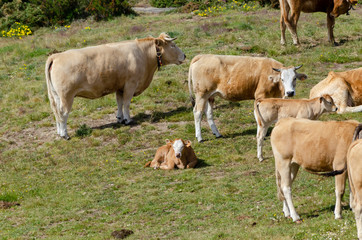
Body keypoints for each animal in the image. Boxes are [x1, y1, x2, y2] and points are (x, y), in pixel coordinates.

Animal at [46, 32, 187, 140]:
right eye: (173, 45)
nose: (184, 55)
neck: (143, 54)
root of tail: (56, 56)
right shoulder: (131, 84)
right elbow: (127, 103)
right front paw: (128, 120)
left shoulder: (120, 86)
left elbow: (119, 102)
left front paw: (120, 118)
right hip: (67, 96)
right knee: (63, 113)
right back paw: (65, 134)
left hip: (55, 96)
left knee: (56, 112)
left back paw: (59, 132)